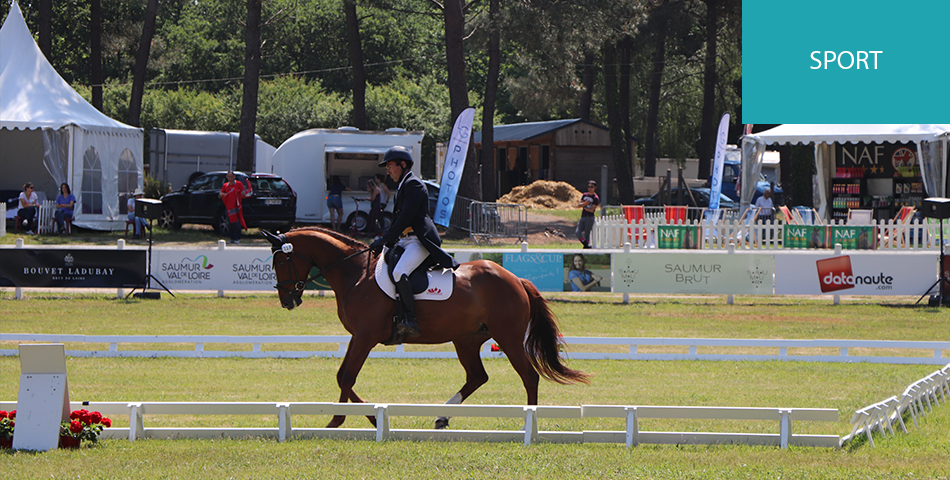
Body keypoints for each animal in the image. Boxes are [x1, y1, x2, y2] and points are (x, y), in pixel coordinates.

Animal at [266, 227, 588, 430]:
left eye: (281, 260)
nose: (287, 300)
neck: (355, 273)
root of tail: (515, 278)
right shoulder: (357, 336)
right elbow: (342, 376)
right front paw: (371, 417)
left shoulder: (365, 336)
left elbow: (347, 377)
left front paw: (339, 420)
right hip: (466, 339)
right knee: (477, 377)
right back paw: (442, 417)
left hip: (507, 337)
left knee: (529, 377)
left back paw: (528, 422)